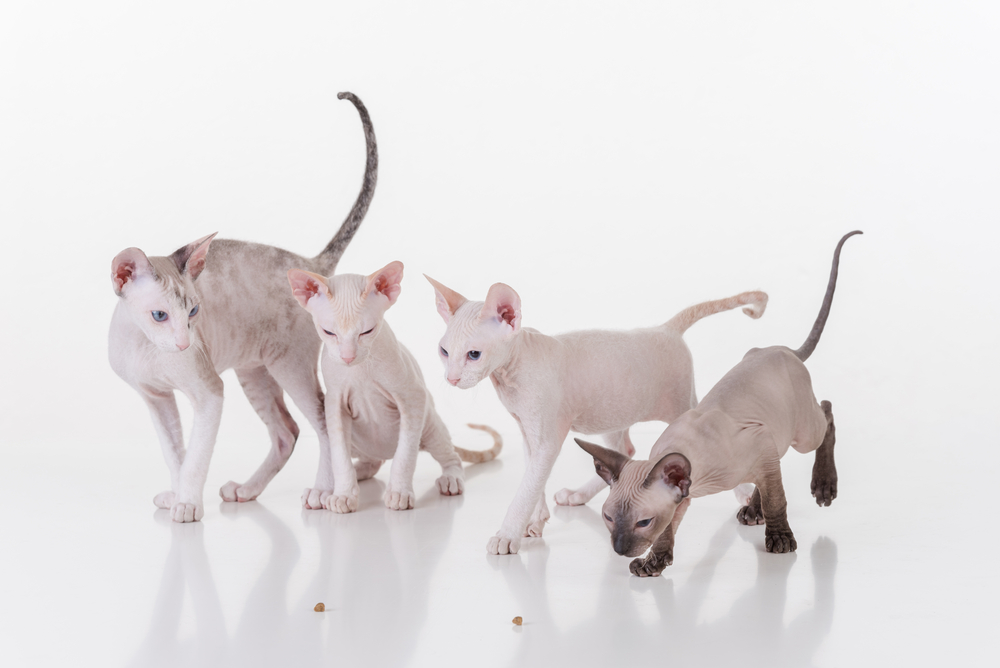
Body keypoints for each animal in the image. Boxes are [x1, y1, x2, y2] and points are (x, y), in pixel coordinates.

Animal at [108, 92, 376, 520]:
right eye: (160, 315)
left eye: (193, 312)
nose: (184, 344)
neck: (145, 347)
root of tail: (312, 266)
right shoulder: (156, 398)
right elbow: (174, 451)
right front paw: (176, 494)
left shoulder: (209, 393)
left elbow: (196, 456)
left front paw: (187, 503)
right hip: (254, 370)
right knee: (286, 431)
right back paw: (248, 490)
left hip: (289, 365)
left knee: (323, 422)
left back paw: (322, 491)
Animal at [288, 260, 504, 512]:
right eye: (328, 332)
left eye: (367, 331)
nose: (348, 357)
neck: (360, 371)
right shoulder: (334, 404)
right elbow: (339, 456)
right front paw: (343, 494)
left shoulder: (413, 398)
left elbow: (405, 454)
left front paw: (399, 492)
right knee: (353, 457)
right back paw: (327, 487)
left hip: (430, 425)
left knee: (451, 457)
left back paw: (450, 479)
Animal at [428, 274, 764, 556]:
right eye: (444, 352)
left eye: (474, 354)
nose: (452, 379)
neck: (510, 374)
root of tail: (666, 328)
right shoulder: (526, 431)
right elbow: (533, 480)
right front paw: (535, 522)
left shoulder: (547, 438)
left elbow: (526, 487)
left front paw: (507, 534)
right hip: (611, 411)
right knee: (625, 449)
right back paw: (580, 494)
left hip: (679, 406)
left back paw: (744, 492)